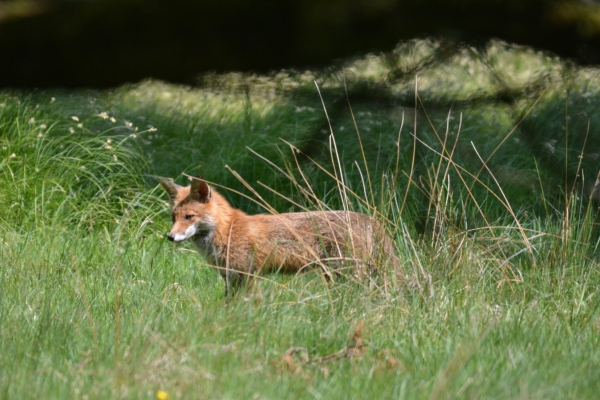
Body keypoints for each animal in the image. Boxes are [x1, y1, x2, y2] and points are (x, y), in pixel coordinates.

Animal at [158, 177, 398, 296]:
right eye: (173, 217)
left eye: (189, 217)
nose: (170, 237)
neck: (227, 231)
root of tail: (373, 220)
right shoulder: (230, 277)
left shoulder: (246, 274)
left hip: (349, 272)